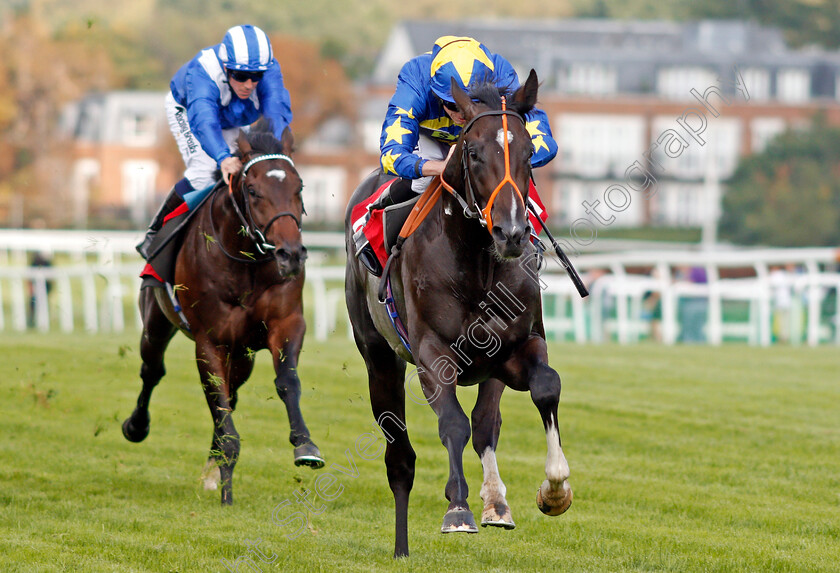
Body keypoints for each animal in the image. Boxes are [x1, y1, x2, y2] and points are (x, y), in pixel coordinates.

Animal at [123, 122, 324, 504]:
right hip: (156, 322)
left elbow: (287, 381)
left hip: (242, 353)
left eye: (300, 187)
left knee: (232, 391)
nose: (291, 254)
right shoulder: (210, 340)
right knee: (152, 370)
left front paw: (305, 445)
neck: (246, 261)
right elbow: (217, 400)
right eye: (253, 190)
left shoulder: (286, 323)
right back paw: (137, 427)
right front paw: (227, 483)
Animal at [344, 70, 576, 556]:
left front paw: (554, 489)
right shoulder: (433, 354)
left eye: (528, 152)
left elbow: (545, 387)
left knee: (486, 423)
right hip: (379, 356)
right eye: (472, 152)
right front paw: (457, 509)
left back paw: (497, 503)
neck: (478, 265)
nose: (511, 232)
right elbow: (451, 423)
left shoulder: (516, 347)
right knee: (399, 450)